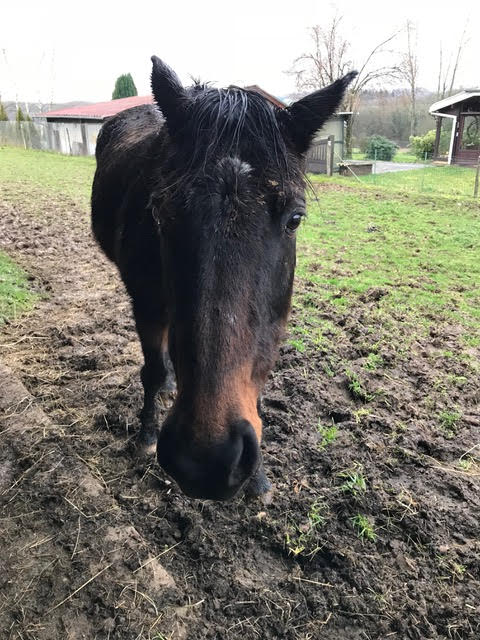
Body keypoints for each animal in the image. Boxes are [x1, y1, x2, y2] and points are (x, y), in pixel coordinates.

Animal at [92, 56, 354, 500]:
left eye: (295, 219)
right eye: (160, 213)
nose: (204, 461)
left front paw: (260, 478)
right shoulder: (145, 303)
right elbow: (153, 370)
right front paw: (145, 436)